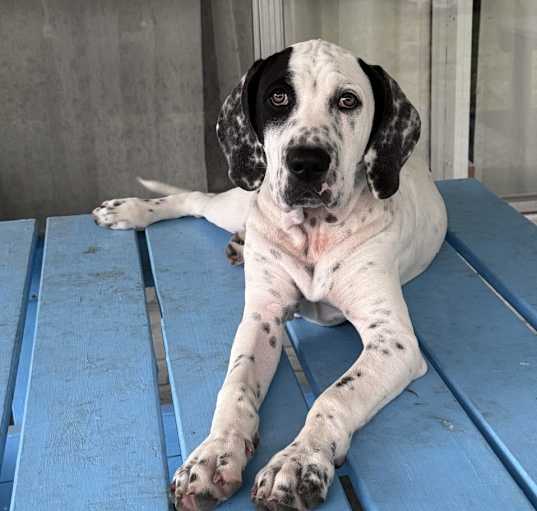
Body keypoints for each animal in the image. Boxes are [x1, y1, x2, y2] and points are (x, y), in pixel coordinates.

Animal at [93, 40, 448, 511]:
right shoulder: (261, 318)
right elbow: (235, 388)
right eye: (278, 97)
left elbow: (334, 395)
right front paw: (213, 454)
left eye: (347, 100)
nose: (306, 163)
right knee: (195, 199)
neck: (313, 231)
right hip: (234, 203)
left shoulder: (393, 339)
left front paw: (297, 461)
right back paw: (131, 211)